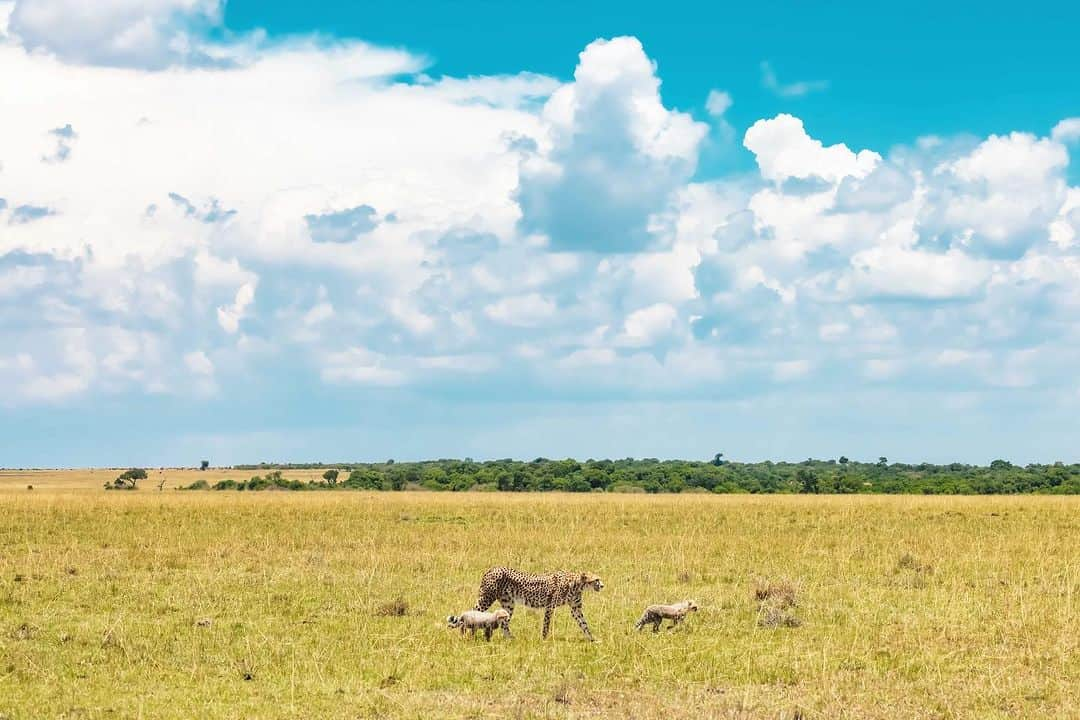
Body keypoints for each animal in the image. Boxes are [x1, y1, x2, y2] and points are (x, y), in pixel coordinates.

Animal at [475, 569, 604, 643]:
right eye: (596, 580)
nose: (603, 585)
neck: (577, 584)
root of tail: (491, 569)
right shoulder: (550, 606)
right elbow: (546, 625)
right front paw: (544, 640)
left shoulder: (575, 609)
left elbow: (584, 624)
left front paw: (592, 639)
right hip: (486, 599)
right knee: (474, 611)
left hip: (508, 604)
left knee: (504, 623)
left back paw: (511, 639)